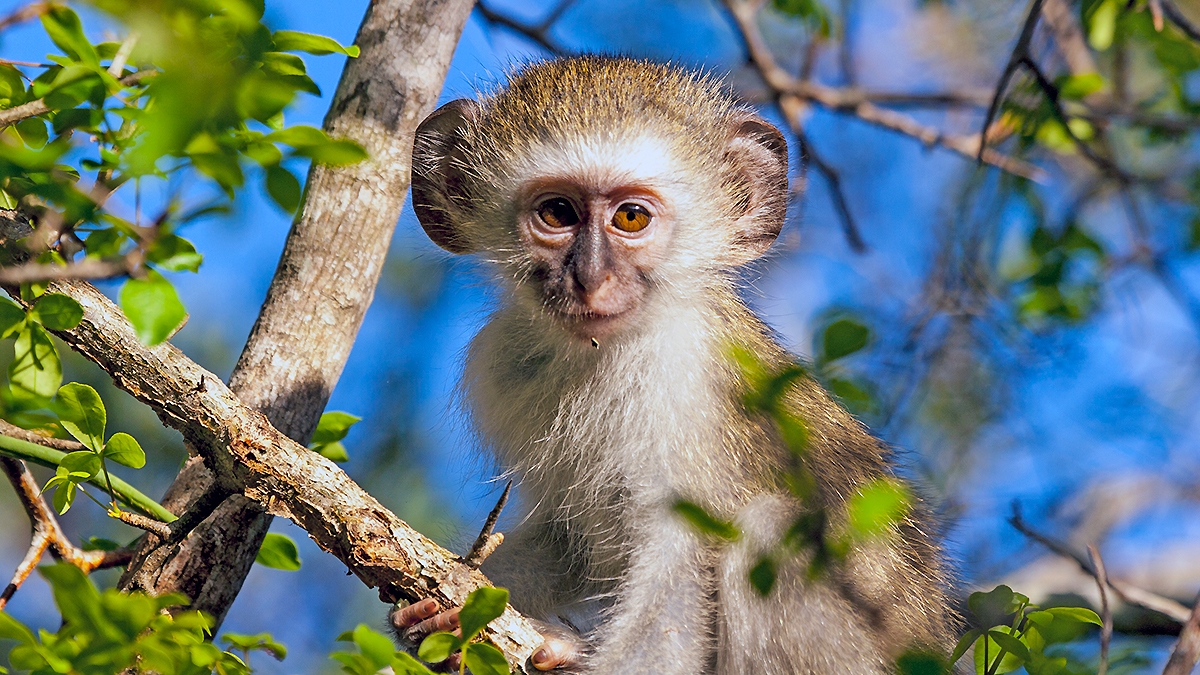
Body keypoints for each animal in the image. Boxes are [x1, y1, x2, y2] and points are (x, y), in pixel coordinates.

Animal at [391, 56, 957, 674]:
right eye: (557, 212)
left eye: (631, 218)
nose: (589, 278)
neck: (602, 355)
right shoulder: (502, 364)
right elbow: (567, 537)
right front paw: (453, 606)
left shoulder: (686, 382)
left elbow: (677, 581)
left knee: (771, 527)